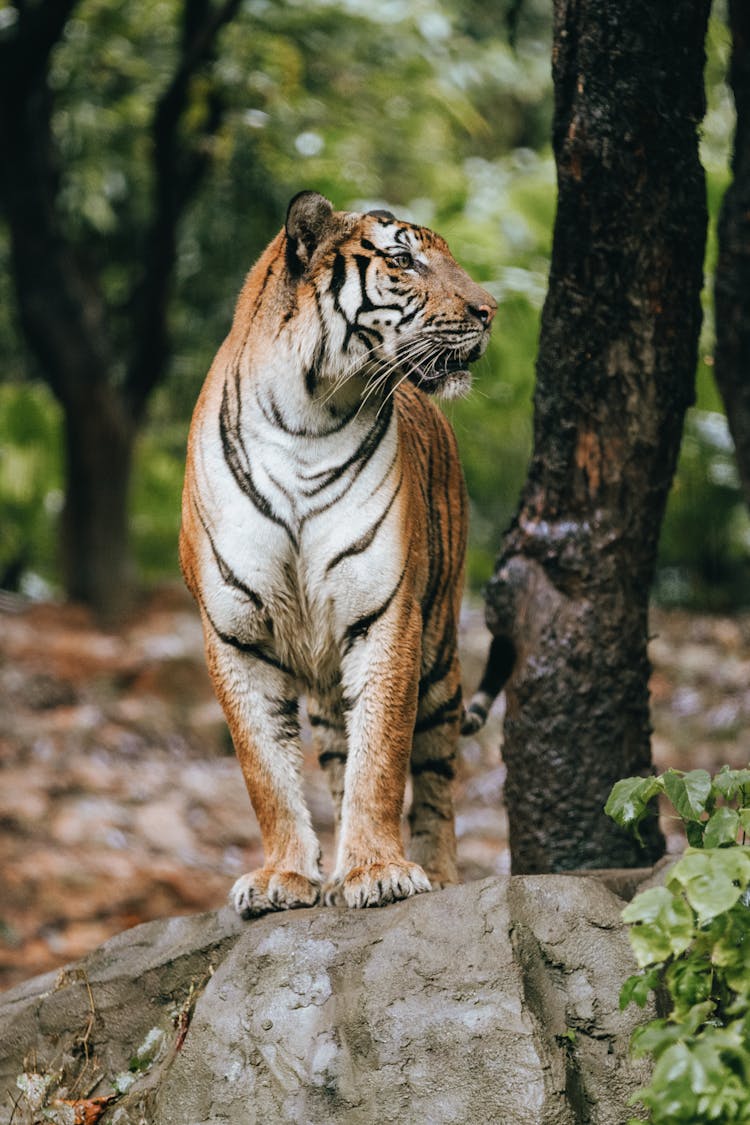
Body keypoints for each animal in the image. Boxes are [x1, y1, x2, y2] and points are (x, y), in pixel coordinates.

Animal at [179, 189, 499, 918]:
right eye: (404, 260)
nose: (489, 311)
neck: (307, 416)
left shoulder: (387, 616)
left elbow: (381, 756)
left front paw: (378, 871)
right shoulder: (234, 633)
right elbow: (266, 769)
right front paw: (284, 875)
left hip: (440, 652)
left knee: (435, 777)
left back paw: (439, 872)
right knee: (333, 758)